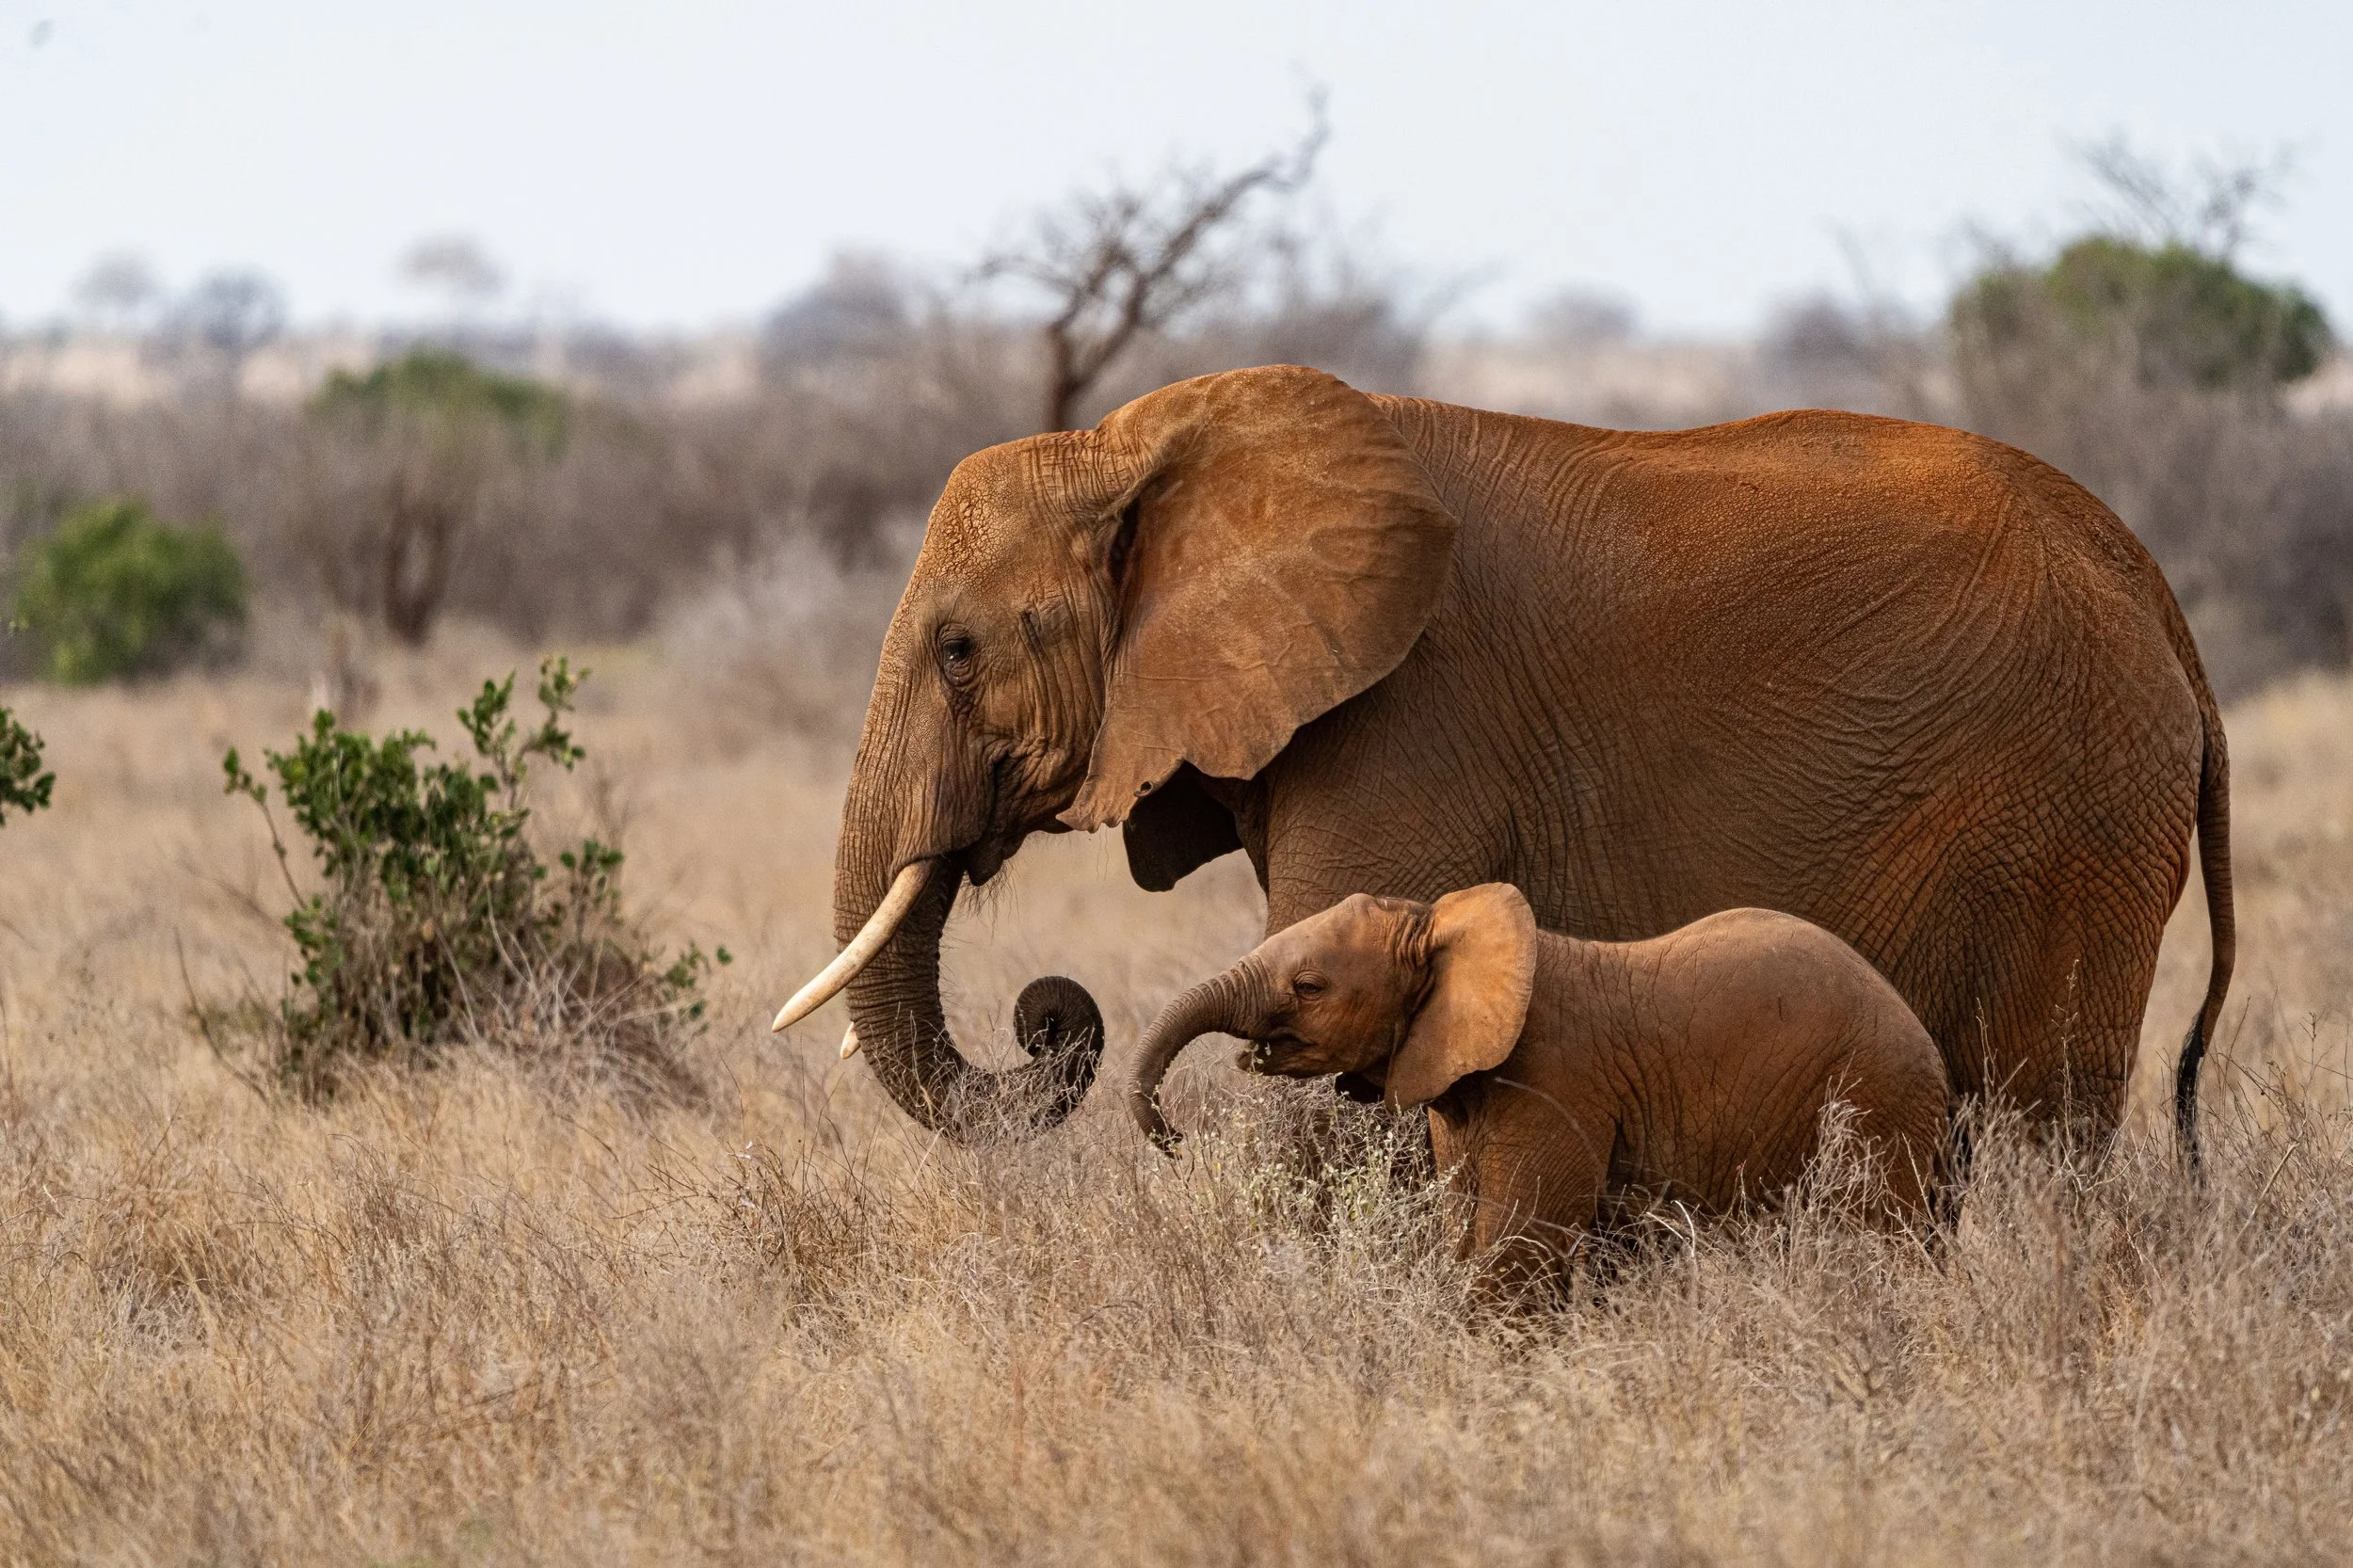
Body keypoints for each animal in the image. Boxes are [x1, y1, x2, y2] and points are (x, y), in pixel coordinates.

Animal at [770, 364, 2233, 1151]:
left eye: (959, 652)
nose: (1050, 1013)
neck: (1145, 446)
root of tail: (2157, 588)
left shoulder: (1411, 717)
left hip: (2075, 812)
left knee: (2044, 1113)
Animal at [1127, 886, 1952, 1276]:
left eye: (1309, 986)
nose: (1176, 1136)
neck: (1440, 923)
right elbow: (1465, 1232)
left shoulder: (1554, 1080)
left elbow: (1515, 1248)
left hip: (1877, 1098)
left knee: (1877, 1235)